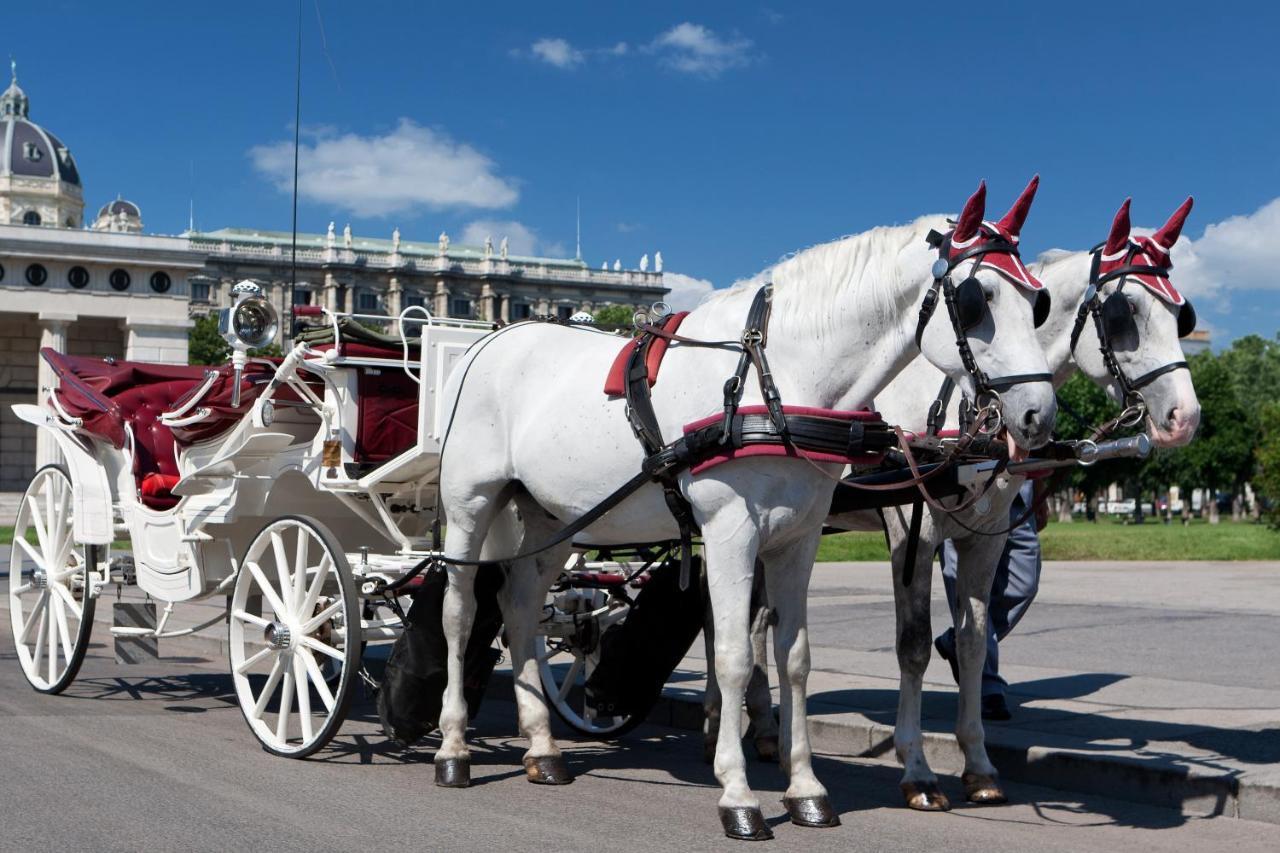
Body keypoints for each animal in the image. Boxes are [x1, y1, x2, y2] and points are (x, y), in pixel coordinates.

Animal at [435, 180, 1054, 835]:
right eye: (978, 299)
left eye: (1037, 303)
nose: (1038, 416)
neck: (775, 379)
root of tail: (489, 341)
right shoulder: (733, 531)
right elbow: (733, 655)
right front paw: (737, 792)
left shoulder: (798, 538)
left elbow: (794, 657)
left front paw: (805, 787)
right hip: (472, 506)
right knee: (461, 611)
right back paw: (453, 748)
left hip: (554, 518)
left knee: (522, 608)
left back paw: (542, 748)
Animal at [727, 194, 1203, 809]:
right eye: (1125, 313)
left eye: (1182, 315)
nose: (1184, 418)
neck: (964, 404)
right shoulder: (911, 531)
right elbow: (912, 646)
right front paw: (918, 768)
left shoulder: (986, 539)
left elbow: (977, 641)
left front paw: (977, 763)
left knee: (758, 620)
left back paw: (763, 730)